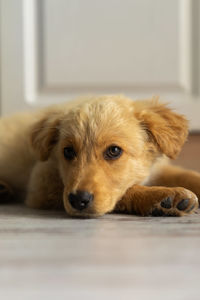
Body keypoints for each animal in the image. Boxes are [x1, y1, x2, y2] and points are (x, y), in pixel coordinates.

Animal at [0, 95, 200, 217]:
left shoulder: (158, 168)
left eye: (114, 151)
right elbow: (126, 191)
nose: (78, 200)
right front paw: (163, 196)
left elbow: (186, 174)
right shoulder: (41, 185)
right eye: (68, 151)